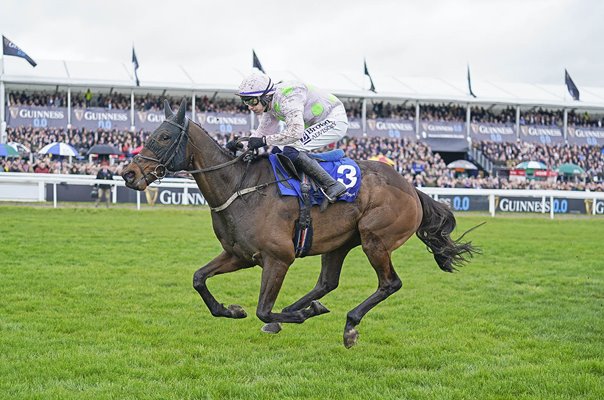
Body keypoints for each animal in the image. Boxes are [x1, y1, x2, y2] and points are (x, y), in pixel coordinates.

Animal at [122, 99, 478, 346]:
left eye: (164, 136)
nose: (128, 173)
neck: (239, 187)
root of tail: (411, 187)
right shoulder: (239, 254)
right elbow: (199, 279)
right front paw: (231, 310)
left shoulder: (278, 258)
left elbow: (263, 308)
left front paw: (294, 315)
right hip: (339, 242)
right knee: (327, 283)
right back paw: (307, 308)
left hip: (374, 239)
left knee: (390, 283)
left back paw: (349, 324)